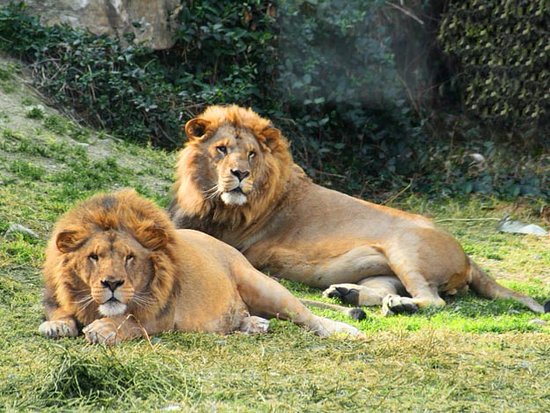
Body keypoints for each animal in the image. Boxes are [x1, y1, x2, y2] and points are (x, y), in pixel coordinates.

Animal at [37, 188, 362, 342]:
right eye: (94, 257)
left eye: (130, 258)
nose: (112, 284)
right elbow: (59, 311)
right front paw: (56, 325)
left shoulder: (164, 313)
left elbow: (131, 320)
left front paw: (103, 329)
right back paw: (253, 324)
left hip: (262, 285)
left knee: (308, 316)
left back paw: (345, 331)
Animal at [170, 104, 548, 314]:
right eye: (221, 149)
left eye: (251, 154)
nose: (240, 174)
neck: (210, 199)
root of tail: (469, 257)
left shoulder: (230, 244)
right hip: (383, 269)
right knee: (384, 290)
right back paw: (348, 294)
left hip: (406, 250)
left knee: (433, 301)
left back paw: (399, 306)